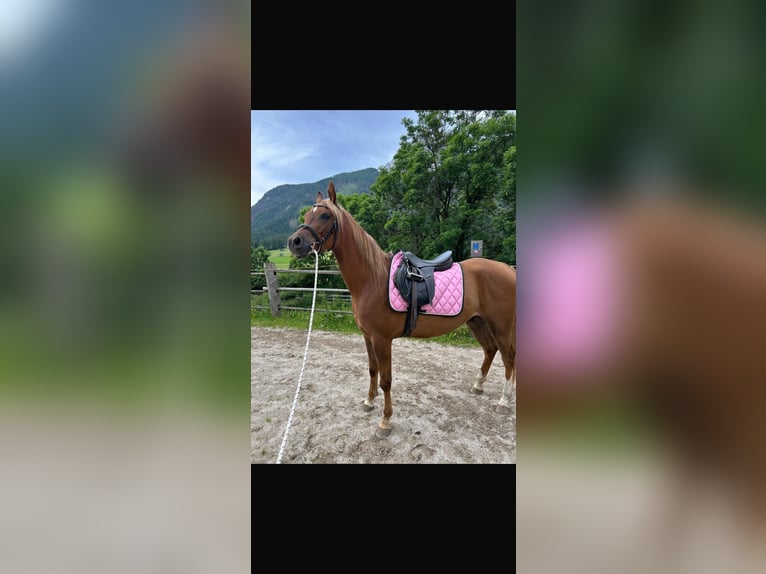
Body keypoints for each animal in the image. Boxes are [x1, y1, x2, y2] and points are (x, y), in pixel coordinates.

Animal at [287, 181, 516, 438]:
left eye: (325, 216)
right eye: (307, 215)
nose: (295, 242)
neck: (371, 279)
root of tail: (508, 269)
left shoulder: (382, 339)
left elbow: (386, 379)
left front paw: (385, 422)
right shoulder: (368, 337)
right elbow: (372, 370)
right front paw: (369, 402)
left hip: (500, 325)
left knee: (508, 357)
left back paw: (504, 401)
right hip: (476, 321)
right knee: (490, 350)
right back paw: (478, 386)